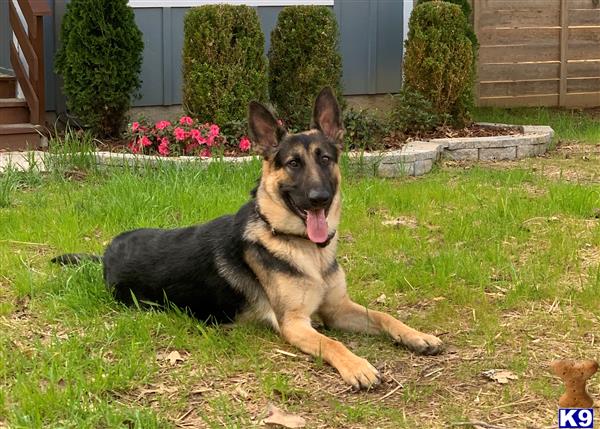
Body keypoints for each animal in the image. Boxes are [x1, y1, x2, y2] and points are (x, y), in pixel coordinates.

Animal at [54, 87, 442, 388]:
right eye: (293, 164)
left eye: (325, 158)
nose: (319, 198)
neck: (299, 245)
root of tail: (106, 253)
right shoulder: (295, 325)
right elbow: (333, 344)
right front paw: (357, 365)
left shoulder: (336, 309)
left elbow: (383, 315)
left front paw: (416, 335)